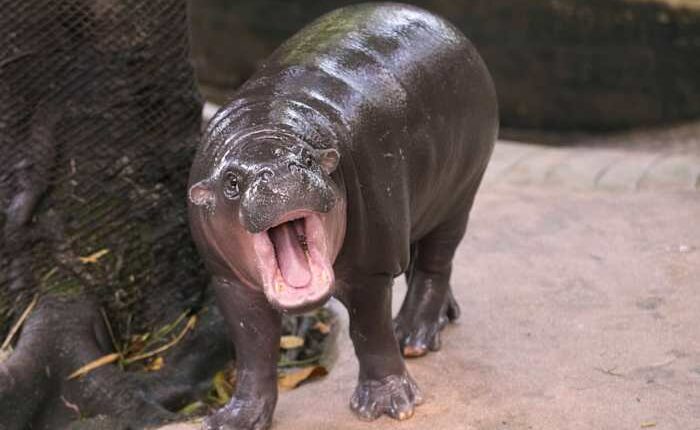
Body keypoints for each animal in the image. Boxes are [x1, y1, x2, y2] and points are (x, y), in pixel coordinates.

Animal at [188, 3, 498, 429]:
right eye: (231, 181)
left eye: (306, 159)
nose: (279, 174)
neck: (265, 127)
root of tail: (442, 23)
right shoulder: (228, 281)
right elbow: (253, 348)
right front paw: (235, 418)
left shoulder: (371, 267)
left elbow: (370, 331)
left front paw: (388, 404)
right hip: (417, 204)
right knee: (419, 255)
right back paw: (441, 319)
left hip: (460, 190)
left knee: (436, 262)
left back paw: (413, 336)